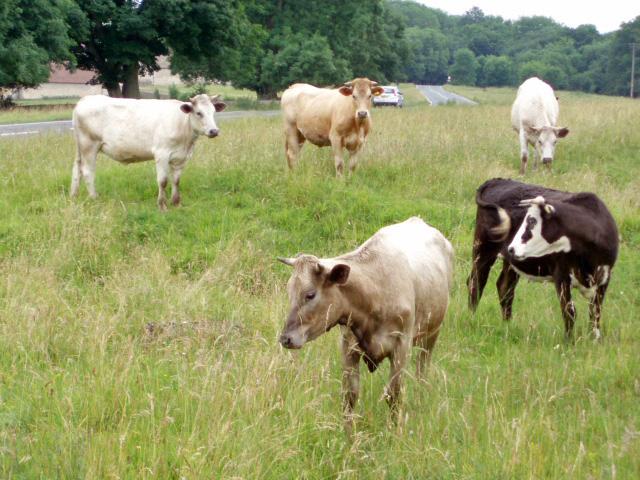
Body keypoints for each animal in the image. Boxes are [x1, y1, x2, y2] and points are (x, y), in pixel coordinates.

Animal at [68, 94, 225, 210]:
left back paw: (74, 196)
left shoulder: (181, 157)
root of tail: (85, 99)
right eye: (199, 113)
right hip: (89, 145)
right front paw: (162, 205)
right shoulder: (161, 153)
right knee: (87, 171)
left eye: (213, 112)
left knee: (77, 169)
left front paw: (176, 203)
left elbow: (176, 180)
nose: (214, 131)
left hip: (80, 147)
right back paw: (95, 198)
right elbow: (163, 181)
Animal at [278, 218, 452, 432]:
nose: (285, 338)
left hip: (432, 333)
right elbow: (349, 397)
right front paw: (349, 435)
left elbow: (394, 395)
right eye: (289, 292)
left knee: (422, 371)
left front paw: (394, 433)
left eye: (310, 294)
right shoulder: (348, 346)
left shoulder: (402, 346)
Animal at [464, 178, 620, 340]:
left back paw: (508, 326)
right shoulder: (561, 276)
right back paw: (472, 319)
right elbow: (570, 312)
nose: (511, 248)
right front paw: (569, 341)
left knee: (505, 288)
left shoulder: (605, 278)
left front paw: (594, 339)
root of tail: (496, 181)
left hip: (511, 262)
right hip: (483, 250)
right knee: (476, 283)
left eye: (532, 221)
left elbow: (595, 312)